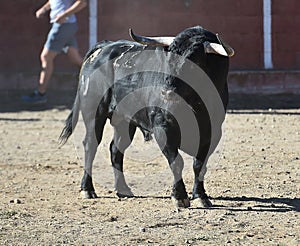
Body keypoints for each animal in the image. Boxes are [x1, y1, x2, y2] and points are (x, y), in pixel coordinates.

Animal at [59, 26, 234, 208]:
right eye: (168, 59)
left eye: (195, 63)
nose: (166, 92)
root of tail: (104, 47)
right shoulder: (163, 128)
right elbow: (177, 162)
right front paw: (179, 196)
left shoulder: (212, 133)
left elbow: (199, 165)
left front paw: (200, 196)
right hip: (94, 113)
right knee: (90, 145)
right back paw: (87, 189)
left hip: (124, 121)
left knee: (116, 149)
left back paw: (123, 189)